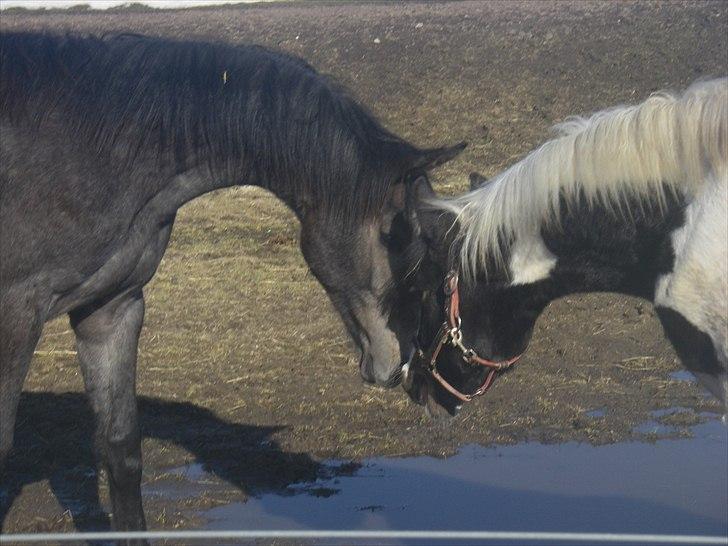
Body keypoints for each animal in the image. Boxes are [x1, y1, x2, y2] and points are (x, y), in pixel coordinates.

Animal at [0, 30, 464, 532]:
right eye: (396, 234)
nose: (402, 362)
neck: (85, 147)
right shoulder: (15, 316)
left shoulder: (111, 308)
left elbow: (121, 448)